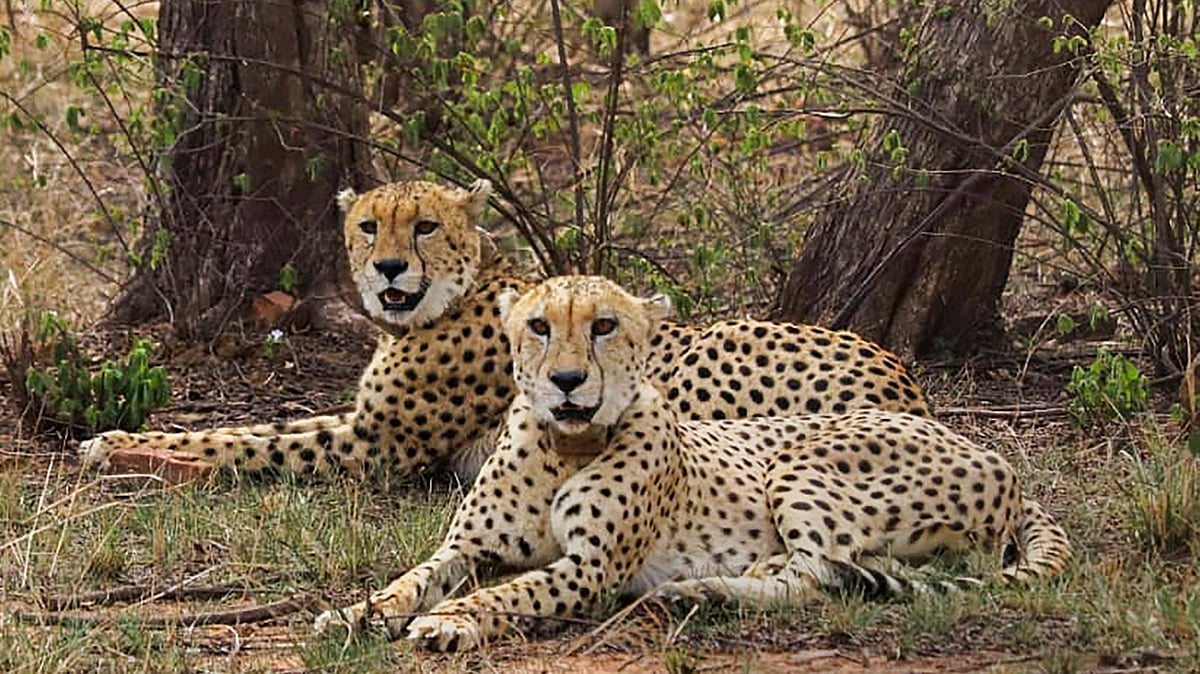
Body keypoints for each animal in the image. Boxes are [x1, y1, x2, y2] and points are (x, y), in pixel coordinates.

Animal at [79, 179, 930, 483]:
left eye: (423, 226)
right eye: (368, 226)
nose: (388, 269)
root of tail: (905, 380)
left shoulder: (382, 446)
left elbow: (250, 444)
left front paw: (126, 452)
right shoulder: (362, 420)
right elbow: (257, 425)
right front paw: (118, 439)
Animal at [312, 275, 1072, 652]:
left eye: (605, 326)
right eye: (538, 326)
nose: (566, 382)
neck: (565, 446)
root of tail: (993, 455)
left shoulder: (591, 569)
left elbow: (509, 593)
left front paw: (451, 622)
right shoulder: (468, 546)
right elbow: (411, 579)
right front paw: (356, 613)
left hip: (799, 463)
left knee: (818, 575)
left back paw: (704, 589)